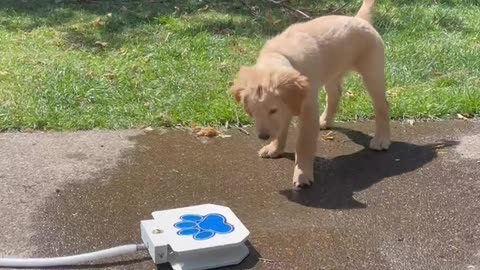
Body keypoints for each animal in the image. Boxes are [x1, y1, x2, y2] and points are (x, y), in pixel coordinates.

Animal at [231, 0, 392, 188]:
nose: (263, 136)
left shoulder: (307, 108)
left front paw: (302, 174)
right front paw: (274, 149)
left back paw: (381, 139)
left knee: (382, 105)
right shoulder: (289, 104)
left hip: (372, 73)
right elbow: (281, 128)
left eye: (273, 110)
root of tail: (360, 19)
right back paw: (325, 121)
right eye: (253, 112)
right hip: (332, 73)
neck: (280, 55)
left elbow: (303, 144)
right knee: (335, 94)